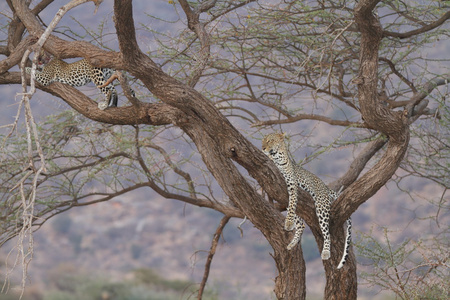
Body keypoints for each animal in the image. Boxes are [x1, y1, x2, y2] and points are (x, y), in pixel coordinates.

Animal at [264, 132, 352, 268]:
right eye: (263, 140)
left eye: (270, 140)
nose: (263, 148)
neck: (278, 157)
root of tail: (325, 187)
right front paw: (289, 223)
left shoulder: (292, 185)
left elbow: (292, 203)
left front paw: (288, 222)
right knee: (301, 225)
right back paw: (292, 243)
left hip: (321, 207)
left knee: (326, 232)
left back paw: (326, 252)